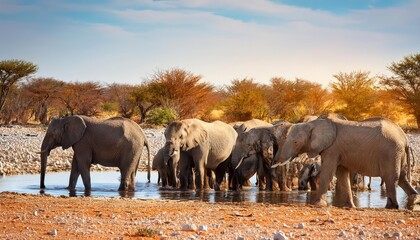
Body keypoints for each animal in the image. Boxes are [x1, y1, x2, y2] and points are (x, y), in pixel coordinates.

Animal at [270, 116, 418, 208]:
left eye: (295, 142)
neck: (313, 123)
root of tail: (405, 138)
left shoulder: (332, 148)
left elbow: (328, 174)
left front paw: (317, 204)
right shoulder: (337, 150)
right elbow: (341, 174)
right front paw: (348, 206)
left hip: (391, 152)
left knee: (391, 178)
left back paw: (391, 206)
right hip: (397, 153)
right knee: (402, 178)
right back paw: (414, 199)